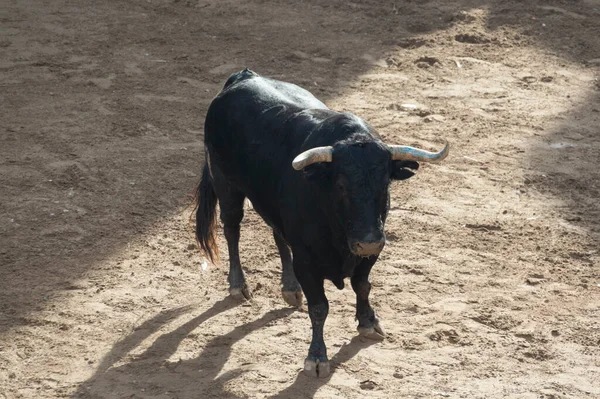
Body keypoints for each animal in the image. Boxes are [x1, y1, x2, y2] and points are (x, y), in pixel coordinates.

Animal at [195, 69, 448, 378]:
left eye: (385, 183)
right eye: (340, 185)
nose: (368, 240)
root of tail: (242, 76)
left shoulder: (370, 253)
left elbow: (362, 286)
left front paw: (368, 322)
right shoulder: (307, 260)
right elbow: (319, 307)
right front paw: (316, 357)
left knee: (277, 234)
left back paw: (290, 289)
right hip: (226, 185)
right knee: (232, 229)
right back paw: (238, 285)